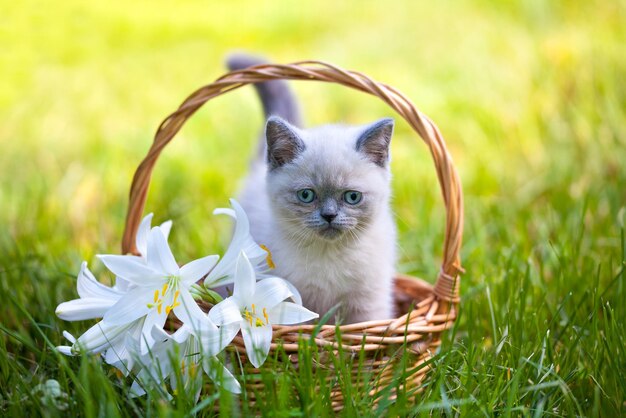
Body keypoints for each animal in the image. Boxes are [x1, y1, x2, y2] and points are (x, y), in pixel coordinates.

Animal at [229, 54, 394, 324]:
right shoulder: (290, 300)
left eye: (352, 197)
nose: (329, 216)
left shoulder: (368, 304)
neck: (329, 256)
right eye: (306, 195)